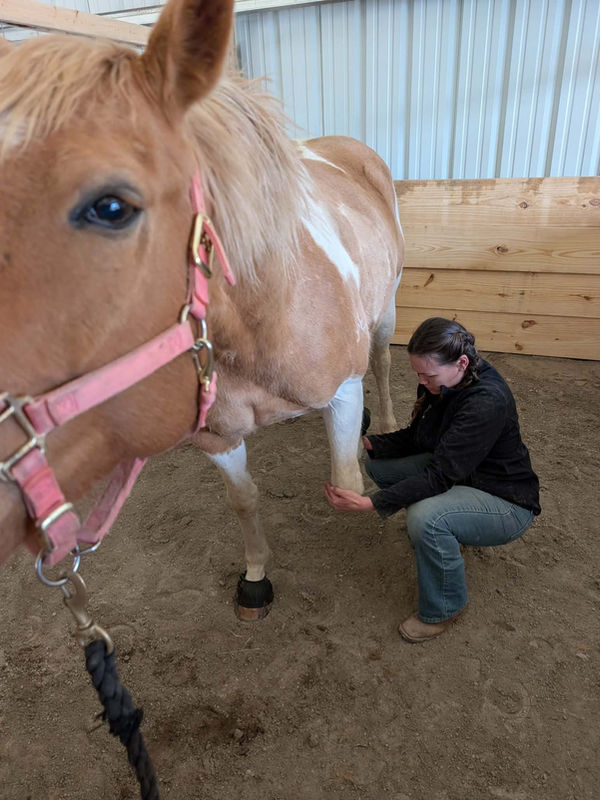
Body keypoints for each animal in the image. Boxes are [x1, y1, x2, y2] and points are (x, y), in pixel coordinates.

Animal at [0, 0, 403, 618]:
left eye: (112, 207)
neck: (260, 325)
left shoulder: (340, 388)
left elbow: (346, 487)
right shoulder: (219, 440)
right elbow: (244, 501)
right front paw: (255, 576)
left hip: (385, 316)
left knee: (380, 364)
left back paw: (383, 424)